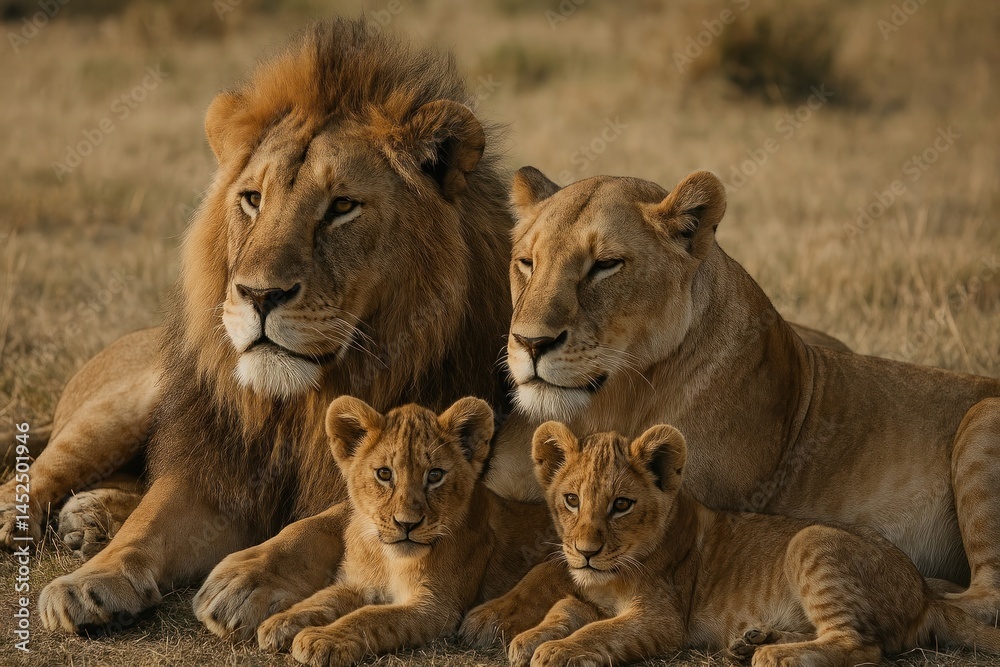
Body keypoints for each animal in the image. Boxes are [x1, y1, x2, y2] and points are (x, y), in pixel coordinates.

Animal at [34, 18, 516, 637]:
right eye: (252, 199)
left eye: (342, 207)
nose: (259, 295)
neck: (304, 405)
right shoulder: (224, 466)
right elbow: (151, 520)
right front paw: (89, 579)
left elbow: (325, 519)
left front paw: (248, 578)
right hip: (127, 401)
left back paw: (91, 515)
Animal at [255, 396, 554, 666]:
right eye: (384, 474)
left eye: (435, 475)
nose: (407, 524)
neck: (388, 559)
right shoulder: (358, 583)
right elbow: (322, 600)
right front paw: (280, 622)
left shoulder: (435, 608)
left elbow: (370, 617)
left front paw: (321, 639)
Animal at [471, 167, 1000, 642]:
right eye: (526, 262)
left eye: (605, 265)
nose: (530, 342)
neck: (607, 402)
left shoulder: (673, 518)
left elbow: (560, 561)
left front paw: (493, 616)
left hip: (982, 418)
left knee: (983, 595)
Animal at [505, 422, 1000, 667]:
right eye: (571, 500)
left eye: (621, 505)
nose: (585, 551)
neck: (612, 575)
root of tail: (924, 593)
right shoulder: (593, 597)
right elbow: (564, 607)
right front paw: (528, 638)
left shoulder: (663, 619)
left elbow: (600, 631)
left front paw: (559, 650)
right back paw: (754, 641)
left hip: (810, 540)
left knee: (861, 646)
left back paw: (773, 654)